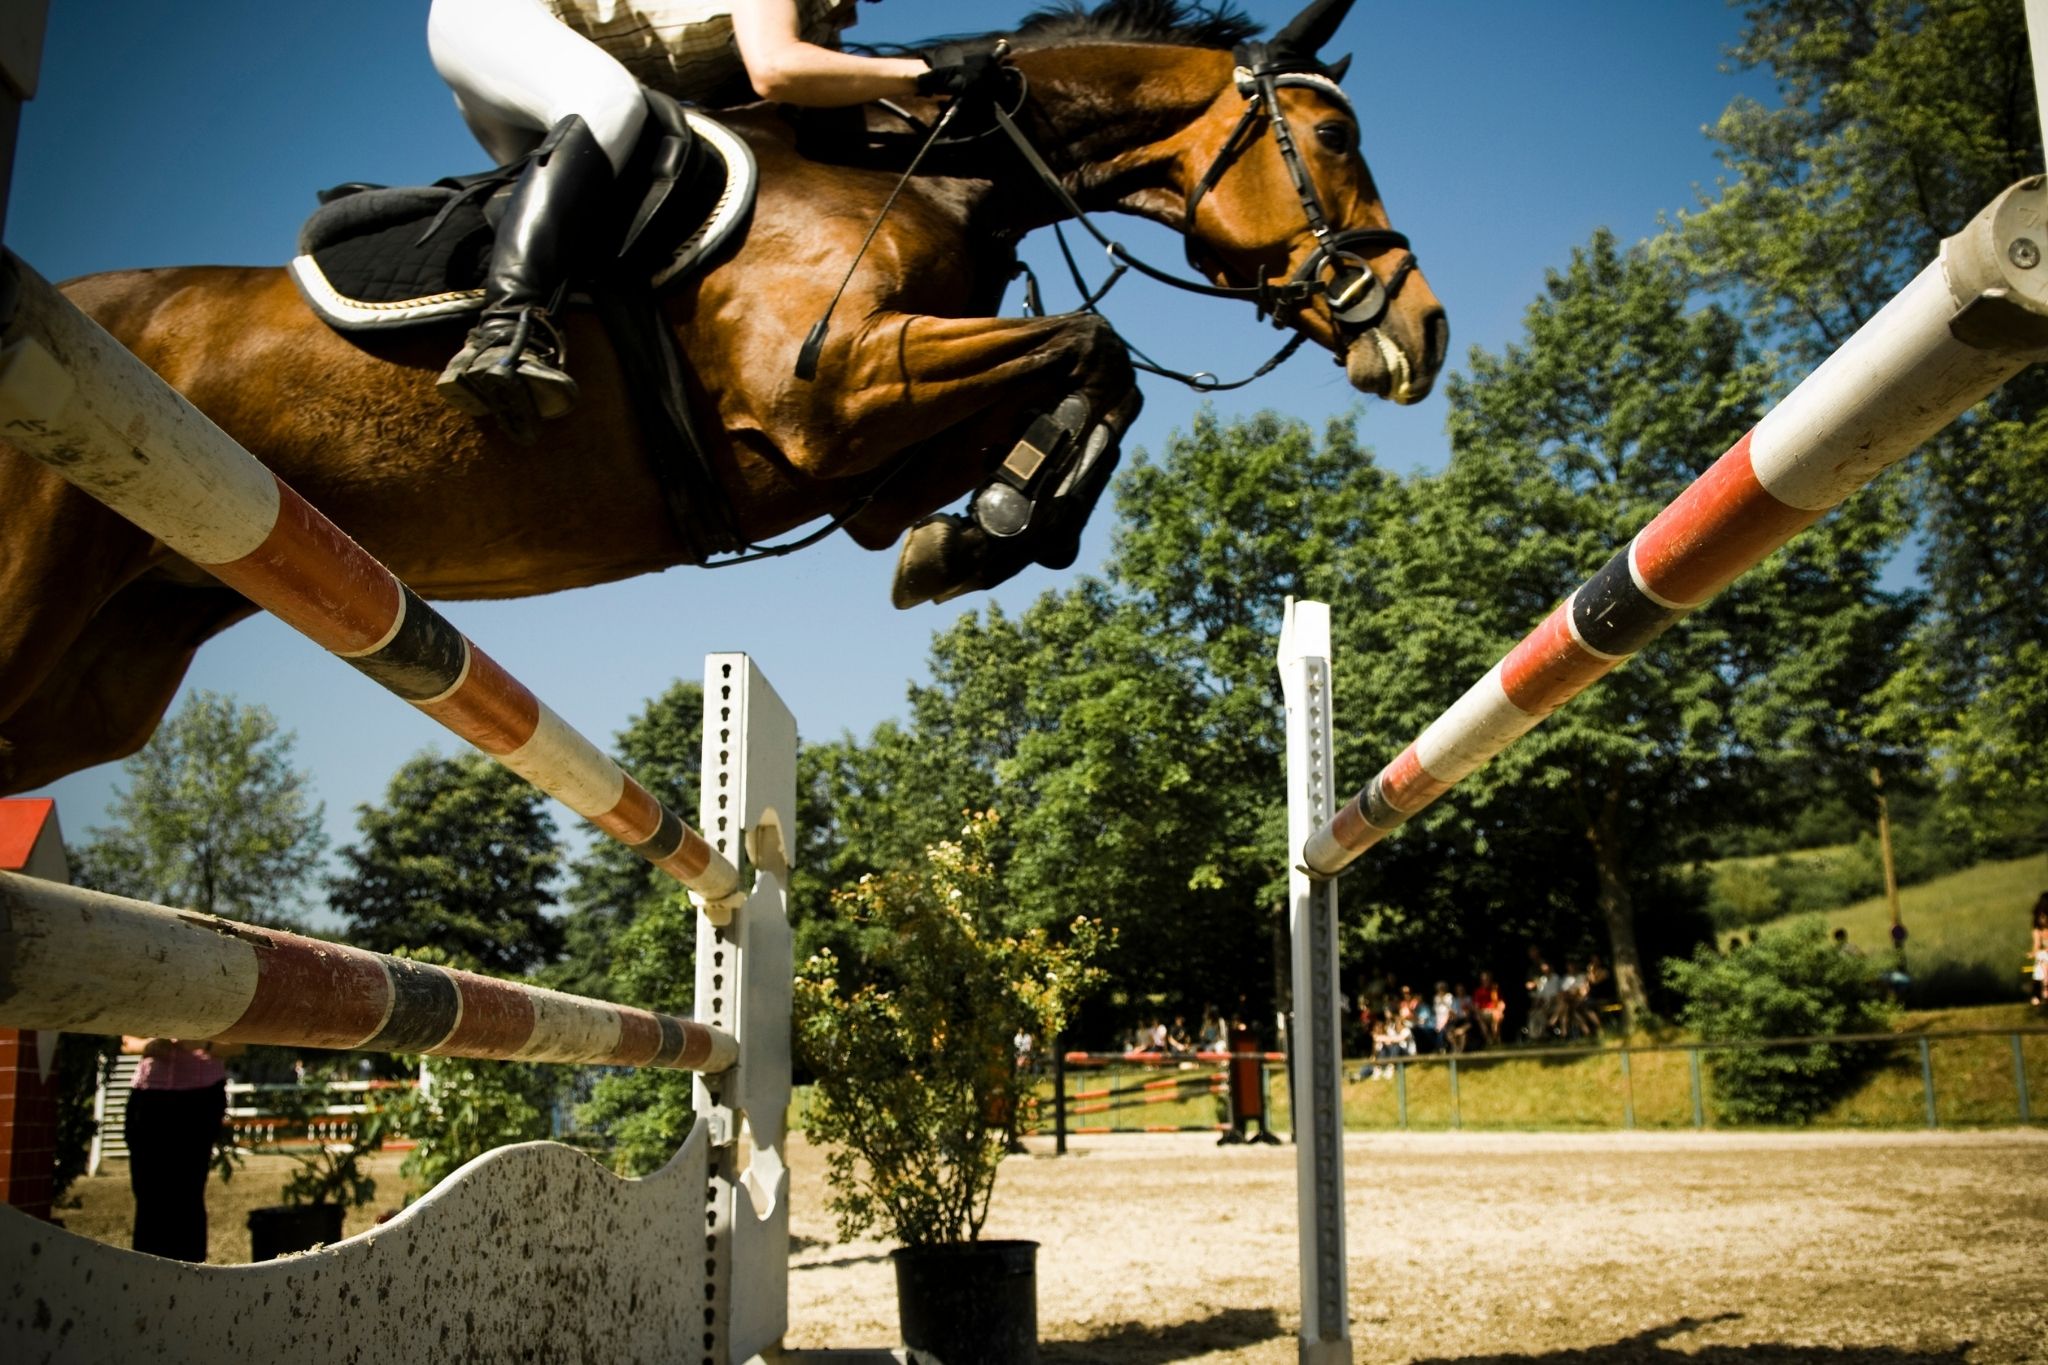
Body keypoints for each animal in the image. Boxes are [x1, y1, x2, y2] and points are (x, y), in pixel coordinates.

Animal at [0, 0, 1445, 797]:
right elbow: (1098, 347)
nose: (1420, 333)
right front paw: (994, 530)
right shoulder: (833, 391)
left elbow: (1083, 385)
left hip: (116, 664)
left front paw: (982, 533)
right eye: (1331, 140)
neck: (934, 168)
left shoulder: (864, 456)